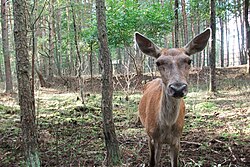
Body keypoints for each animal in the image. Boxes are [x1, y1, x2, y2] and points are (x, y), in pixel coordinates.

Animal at [135, 28, 211, 166]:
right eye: (158, 62)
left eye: (189, 60)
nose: (178, 88)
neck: (167, 125)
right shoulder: (152, 137)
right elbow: (152, 162)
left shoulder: (177, 139)